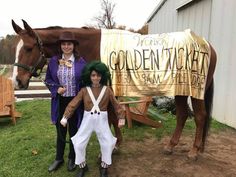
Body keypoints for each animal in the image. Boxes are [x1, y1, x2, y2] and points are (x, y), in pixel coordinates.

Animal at [12, 19, 217, 160]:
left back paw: (194, 151)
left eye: (28, 48)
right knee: (182, 115)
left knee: (199, 116)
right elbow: (111, 116)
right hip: (181, 91)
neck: (92, 46)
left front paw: (114, 145)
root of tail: (207, 44)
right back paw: (171, 146)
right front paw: (115, 144)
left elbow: (111, 116)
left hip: (195, 92)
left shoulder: (108, 88)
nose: (17, 82)